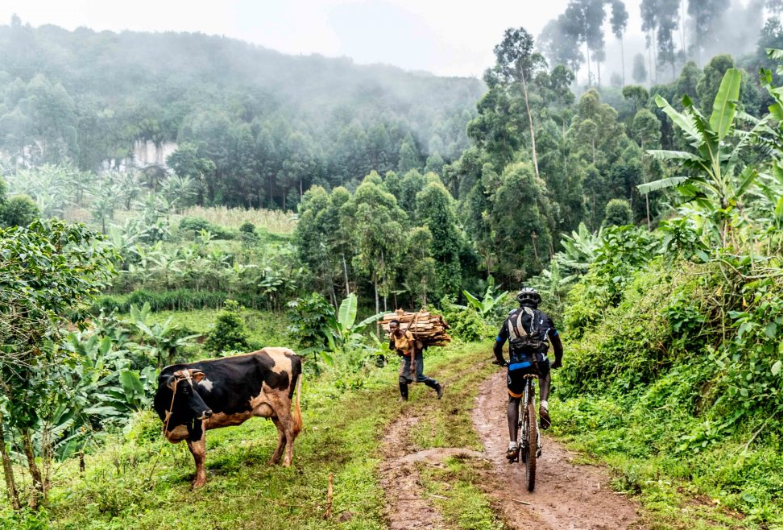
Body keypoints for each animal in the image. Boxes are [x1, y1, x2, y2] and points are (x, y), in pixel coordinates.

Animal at [154, 346, 304, 486]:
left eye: (197, 389)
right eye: (185, 390)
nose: (208, 412)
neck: (172, 421)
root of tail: (288, 352)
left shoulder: (198, 424)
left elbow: (198, 453)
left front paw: (200, 483)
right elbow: (193, 453)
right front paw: (196, 479)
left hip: (282, 402)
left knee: (289, 429)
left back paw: (286, 463)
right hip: (274, 409)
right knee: (282, 433)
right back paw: (273, 461)